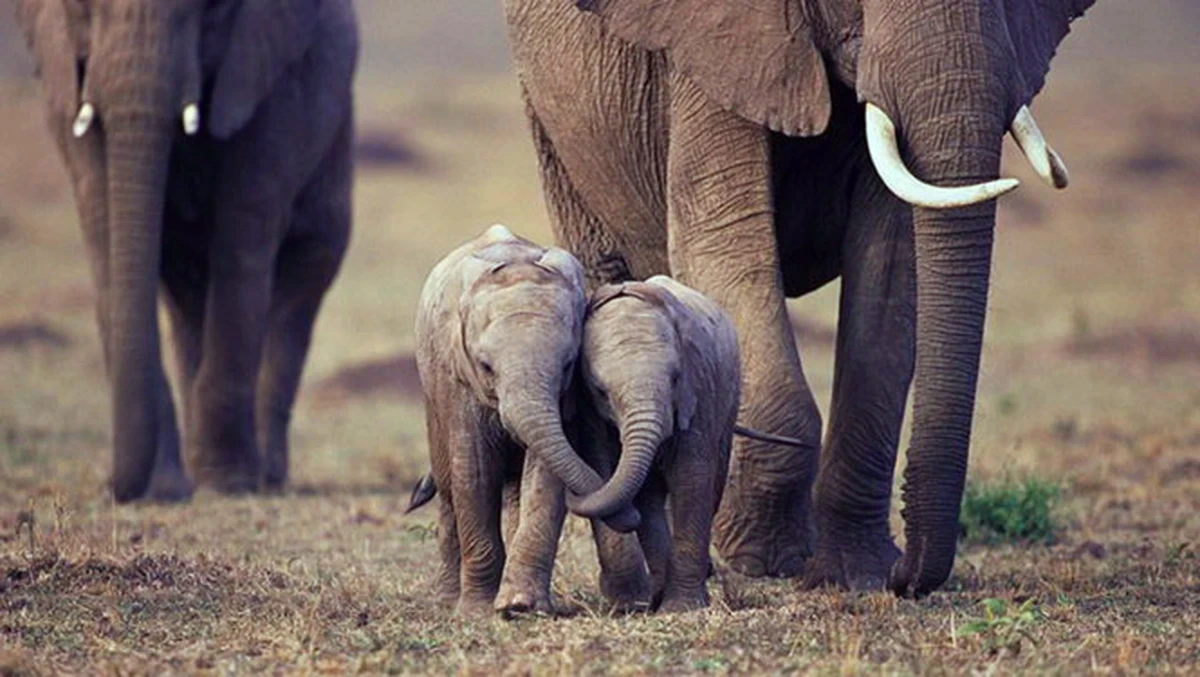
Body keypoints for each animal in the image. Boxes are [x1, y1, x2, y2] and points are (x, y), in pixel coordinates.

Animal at [12, 0, 359, 501]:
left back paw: (266, 477)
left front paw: (228, 484)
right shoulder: (65, 83)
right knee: (187, 294)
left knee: (302, 281)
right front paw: (164, 489)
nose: (113, 489)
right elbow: (106, 238)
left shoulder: (267, 81)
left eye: (209, 9)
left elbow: (240, 239)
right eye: (83, 8)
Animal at [414, 224, 650, 615]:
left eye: (568, 364)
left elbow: (544, 475)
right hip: (432, 390)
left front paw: (520, 606)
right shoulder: (457, 377)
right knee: (448, 486)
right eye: (485, 366)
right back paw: (447, 600)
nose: (633, 515)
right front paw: (477, 612)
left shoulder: (565, 397)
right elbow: (475, 473)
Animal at [506, 0, 1093, 594]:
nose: (907, 576)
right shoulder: (712, 50)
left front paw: (855, 572)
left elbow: (892, 269)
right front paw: (764, 559)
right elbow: (727, 241)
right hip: (551, 124)